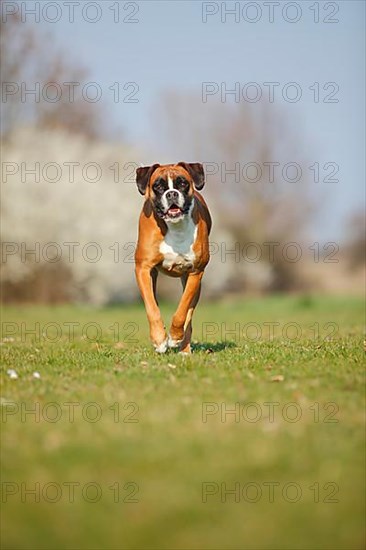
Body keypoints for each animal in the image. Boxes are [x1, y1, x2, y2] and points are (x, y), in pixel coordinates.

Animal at [135, 162, 212, 356]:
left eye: (182, 183)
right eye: (158, 186)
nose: (171, 194)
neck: (175, 227)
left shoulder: (195, 272)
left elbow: (182, 310)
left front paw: (175, 336)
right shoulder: (143, 269)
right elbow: (152, 308)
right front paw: (159, 339)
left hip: (195, 285)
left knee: (189, 317)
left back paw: (184, 348)